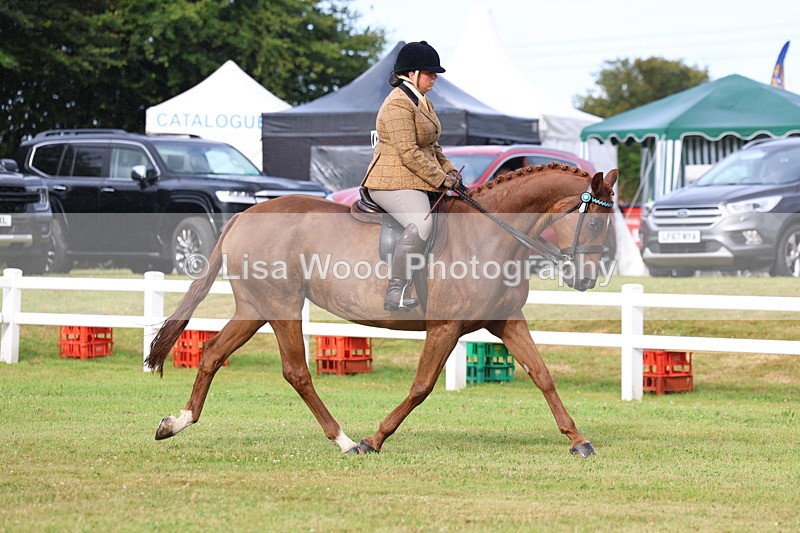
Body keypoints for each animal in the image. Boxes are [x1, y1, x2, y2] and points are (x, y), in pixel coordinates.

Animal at [145, 163, 618, 457]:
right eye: (596, 221)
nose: (586, 279)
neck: (491, 235)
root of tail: (245, 215)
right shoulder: (445, 328)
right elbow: (421, 386)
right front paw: (375, 438)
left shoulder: (506, 322)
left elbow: (543, 375)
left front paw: (578, 439)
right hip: (281, 305)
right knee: (296, 372)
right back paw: (344, 440)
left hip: (254, 307)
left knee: (212, 353)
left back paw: (176, 422)